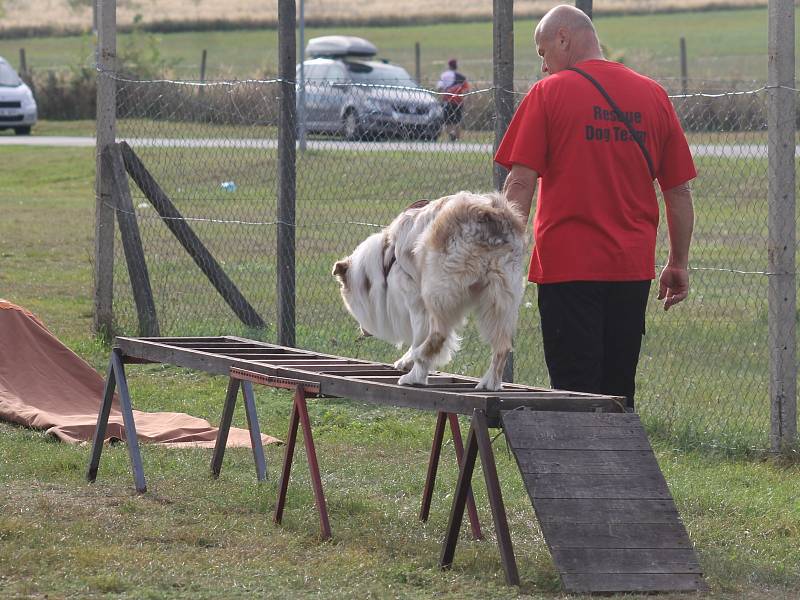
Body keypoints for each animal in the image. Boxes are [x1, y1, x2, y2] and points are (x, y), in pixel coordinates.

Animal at [332, 190, 524, 392]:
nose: (363, 332)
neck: (384, 263)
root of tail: (488, 215)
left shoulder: (415, 300)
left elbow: (419, 337)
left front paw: (413, 363)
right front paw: (407, 360)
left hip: (436, 290)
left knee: (438, 336)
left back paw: (414, 377)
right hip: (501, 298)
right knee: (503, 346)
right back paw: (490, 383)